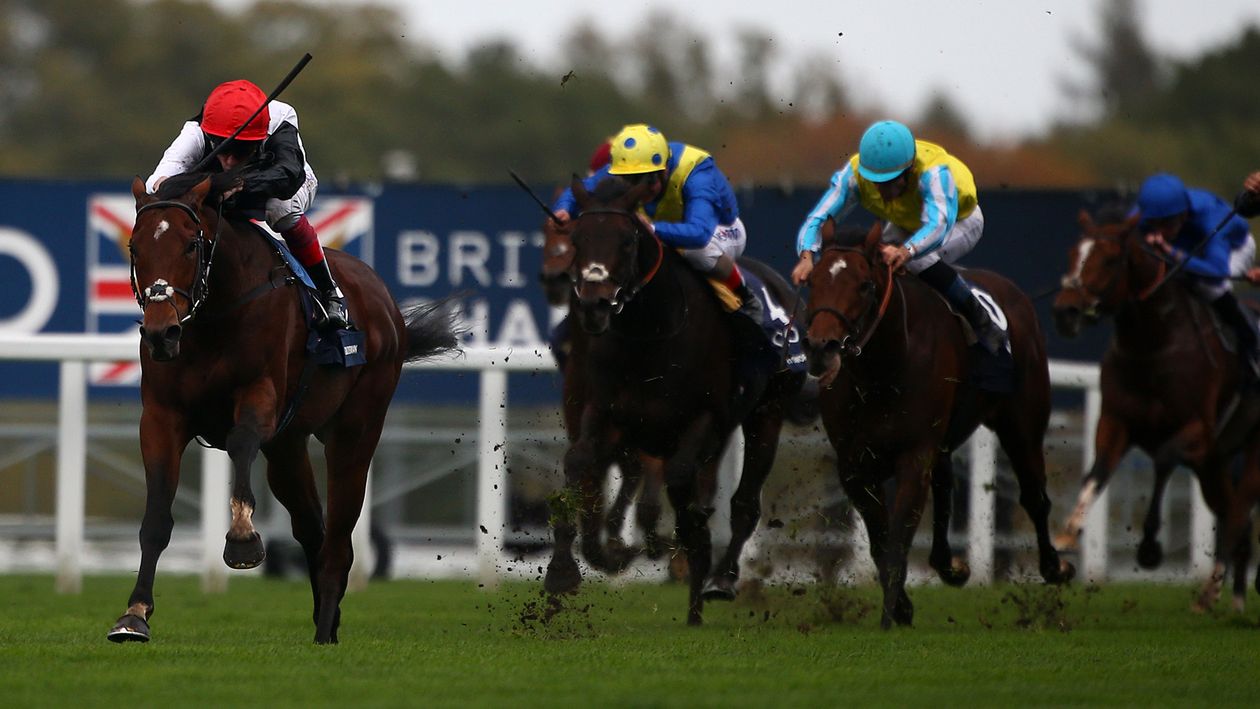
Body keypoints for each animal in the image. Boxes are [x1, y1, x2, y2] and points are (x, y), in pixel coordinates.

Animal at [107, 173, 458, 644]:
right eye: (135, 247)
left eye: (190, 245)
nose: (161, 333)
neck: (214, 314)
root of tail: (383, 300)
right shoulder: (162, 417)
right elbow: (157, 519)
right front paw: (134, 615)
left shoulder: (260, 397)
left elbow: (240, 441)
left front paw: (241, 538)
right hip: (288, 447)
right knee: (313, 528)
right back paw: (326, 616)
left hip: (357, 429)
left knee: (340, 532)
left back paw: (326, 626)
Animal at [544, 176, 811, 624]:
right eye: (577, 239)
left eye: (627, 242)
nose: (594, 304)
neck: (651, 334)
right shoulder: (606, 413)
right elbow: (579, 463)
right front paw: (564, 571)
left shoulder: (703, 417)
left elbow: (682, 481)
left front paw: (690, 558)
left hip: (765, 414)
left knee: (743, 504)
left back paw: (719, 581)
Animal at [803, 222, 1073, 629]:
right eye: (813, 280)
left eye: (864, 285)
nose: (821, 348)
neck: (882, 371)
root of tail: (1017, 294)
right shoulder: (853, 464)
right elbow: (880, 538)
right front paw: (901, 607)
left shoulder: (914, 455)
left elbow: (898, 536)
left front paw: (889, 616)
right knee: (947, 485)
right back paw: (949, 566)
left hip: (1023, 423)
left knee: (1034, 496)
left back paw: (1054, 567)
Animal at [1051, 206, 1258, 610]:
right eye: (1072, 254)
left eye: (1110, 259)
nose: (1066, 311)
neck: (1154, 345)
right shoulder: (1115, 421)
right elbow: (1098, 471)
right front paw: (1069, 531)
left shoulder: (1198, 432)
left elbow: (1163, 459)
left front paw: (1148, 546)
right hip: (1215, 465)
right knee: (1231, 513)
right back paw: (1232, 596)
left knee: (1239, 511)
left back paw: (1216, 590)